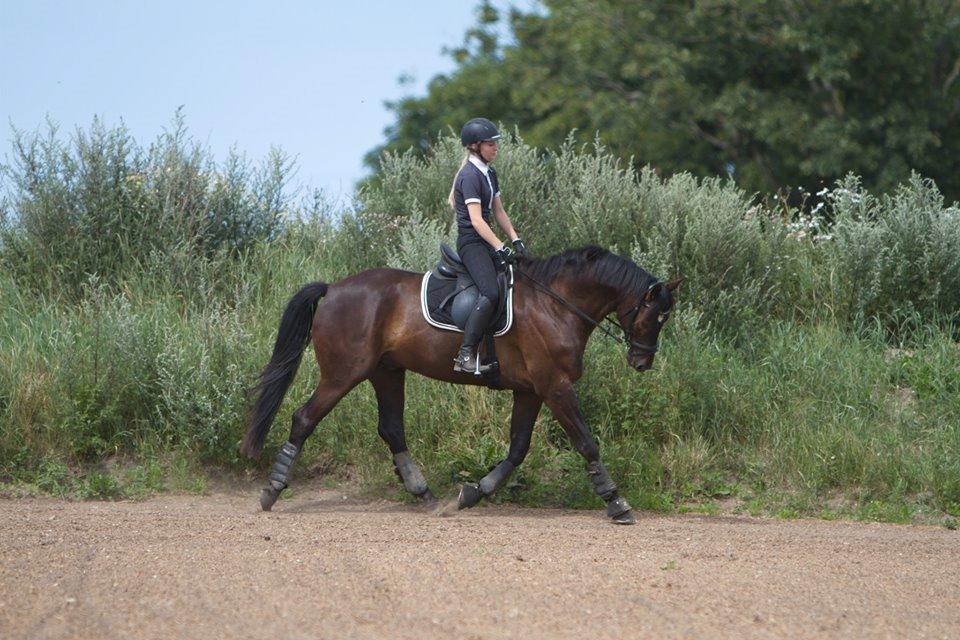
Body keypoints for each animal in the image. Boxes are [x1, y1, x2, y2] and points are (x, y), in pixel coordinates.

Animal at [244, 246, 680, 524]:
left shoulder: (530, 390)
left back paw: (425, 495)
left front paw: (471, 494)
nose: (642, 362)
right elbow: (586, 443)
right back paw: (272, 491)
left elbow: (517, 449)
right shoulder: (554, 386)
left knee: (392, 429)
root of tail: (333, 288)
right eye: (654, 317)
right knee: (304, 419)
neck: (556, 304)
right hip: (342, 374)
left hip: (386, 372)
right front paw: (617, 503)